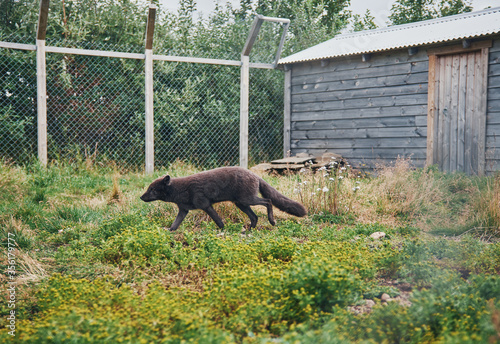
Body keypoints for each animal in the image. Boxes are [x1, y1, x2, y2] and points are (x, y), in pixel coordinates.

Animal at [139, 167, 306, 231]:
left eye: (152, 189)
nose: (141, 197)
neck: (180, 189)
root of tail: (255, 174)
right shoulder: (184, 211)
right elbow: (174, 225)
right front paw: (169, 232)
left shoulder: (206, 205)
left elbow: (218, 221)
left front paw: (222, 230)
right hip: (241, 204)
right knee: (255, 217)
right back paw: (248, 231)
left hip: (247, 200)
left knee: (268, 202)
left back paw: (271, 221)